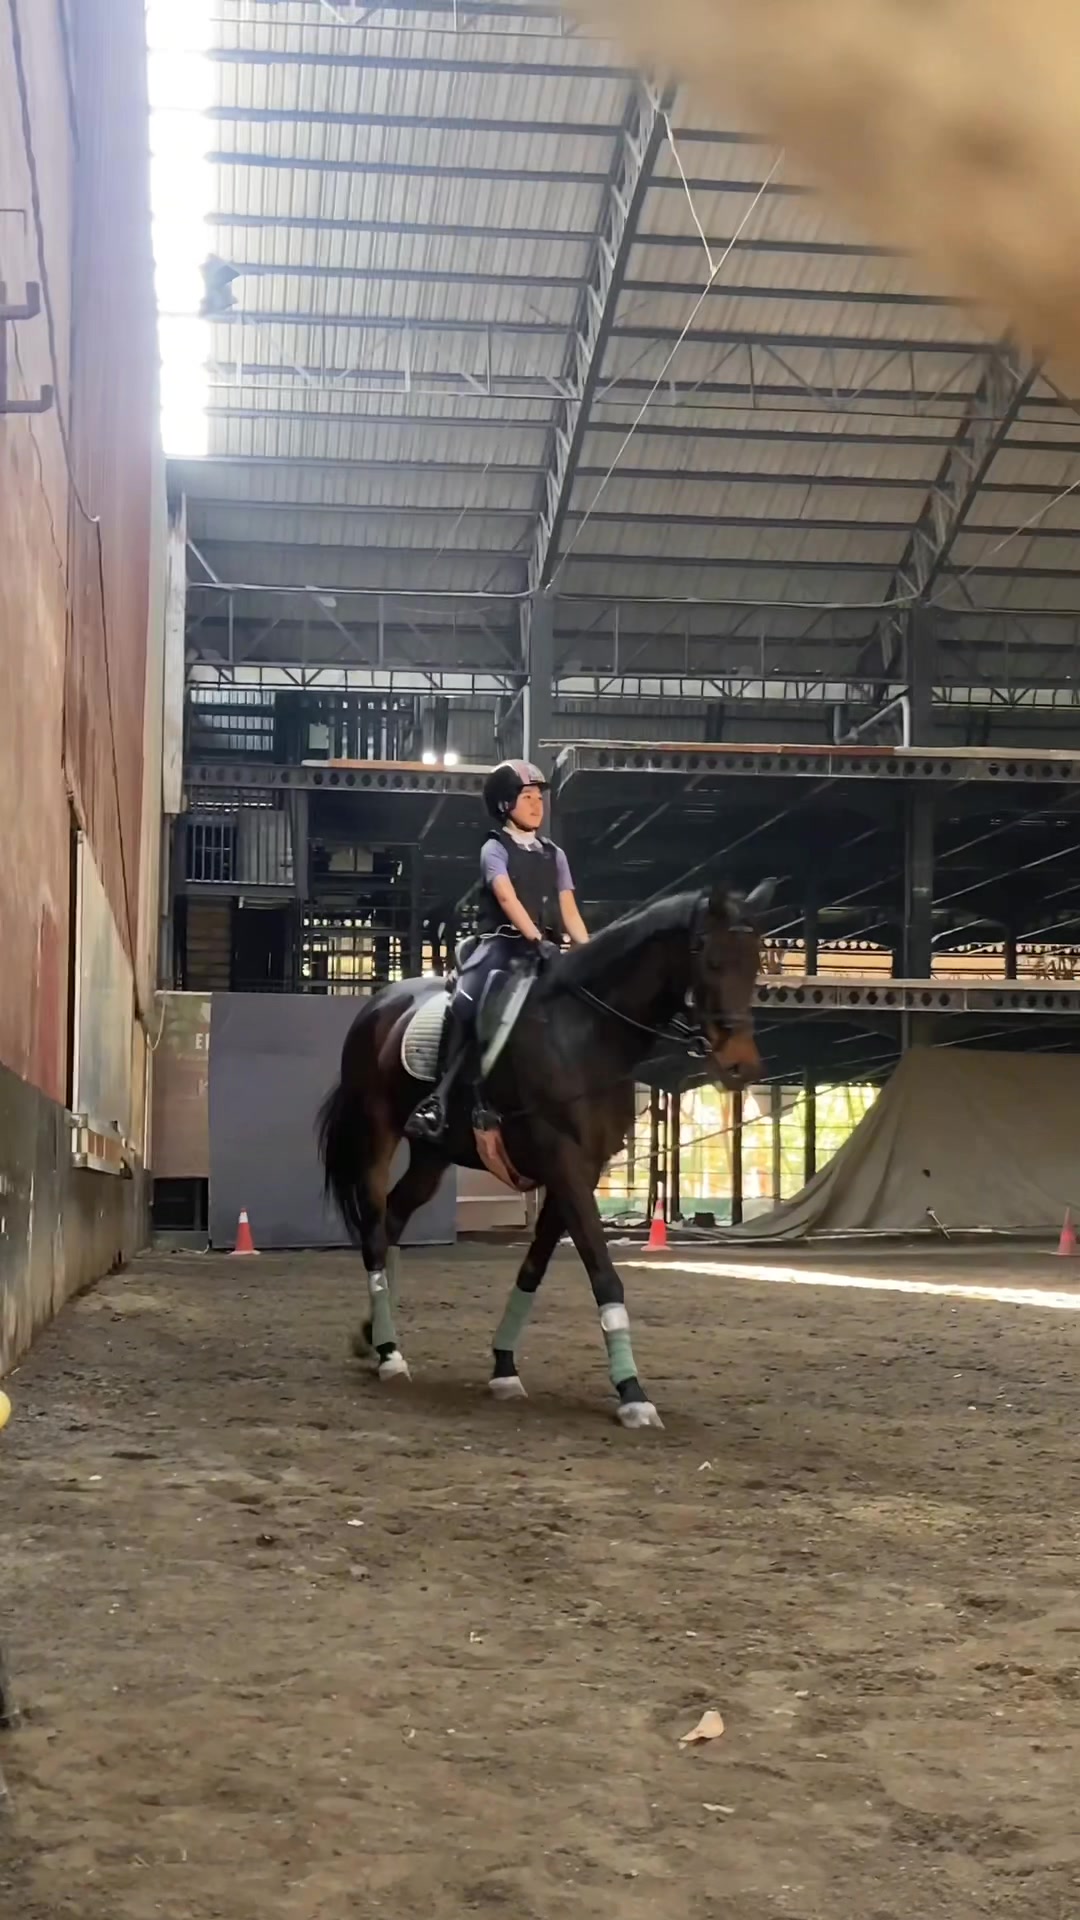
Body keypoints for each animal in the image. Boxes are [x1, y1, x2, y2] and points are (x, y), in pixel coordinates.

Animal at [317, 879, 774, 1430]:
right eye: (710, 957)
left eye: (756, 961)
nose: (741, 1066)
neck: (586, 1033)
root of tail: (377, 1004)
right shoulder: (565, 1164)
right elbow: (604, 1274)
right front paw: (633, 1393)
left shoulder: (580, 1170)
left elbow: (532, 1270)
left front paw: (504, 1368)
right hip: (375, 1134)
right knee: (374, 1229)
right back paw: (390, 1355)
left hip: (433, 1154)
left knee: (395, 1220)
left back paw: (374, 1337)